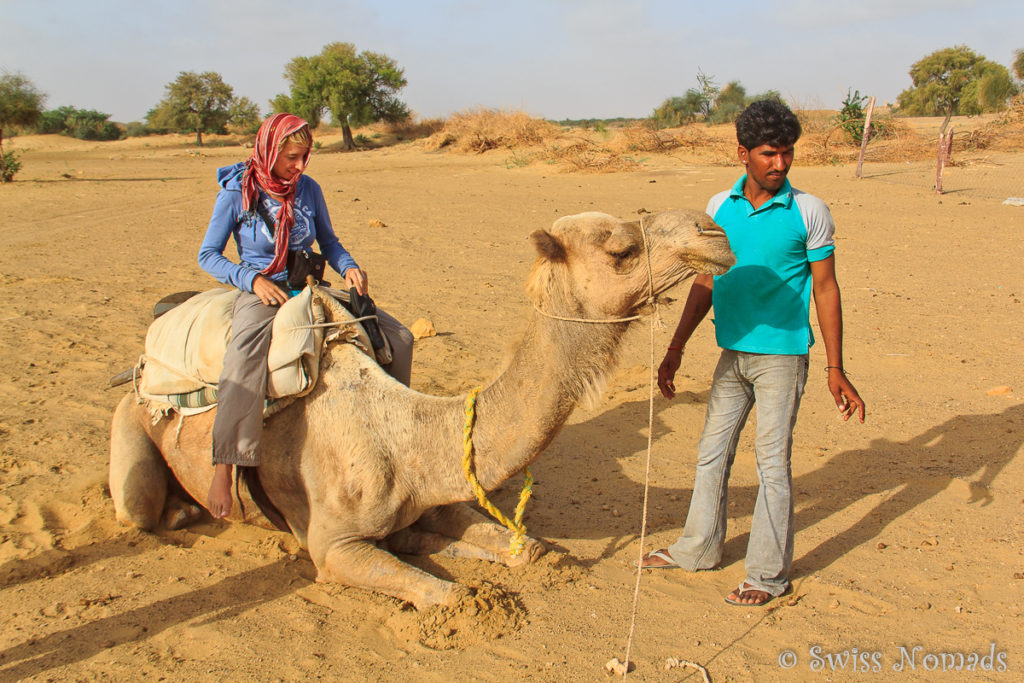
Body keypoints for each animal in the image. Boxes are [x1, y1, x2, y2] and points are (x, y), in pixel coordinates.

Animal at [108, 208, 733, 610]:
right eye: (621, 249)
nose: (715, 231)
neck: (406, 441)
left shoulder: (438, 496)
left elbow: (526, 549)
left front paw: (461, 548)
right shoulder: (332, 549)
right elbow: (449, 595)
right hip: (130, 430)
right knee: (138, 508)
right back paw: (185, 512)